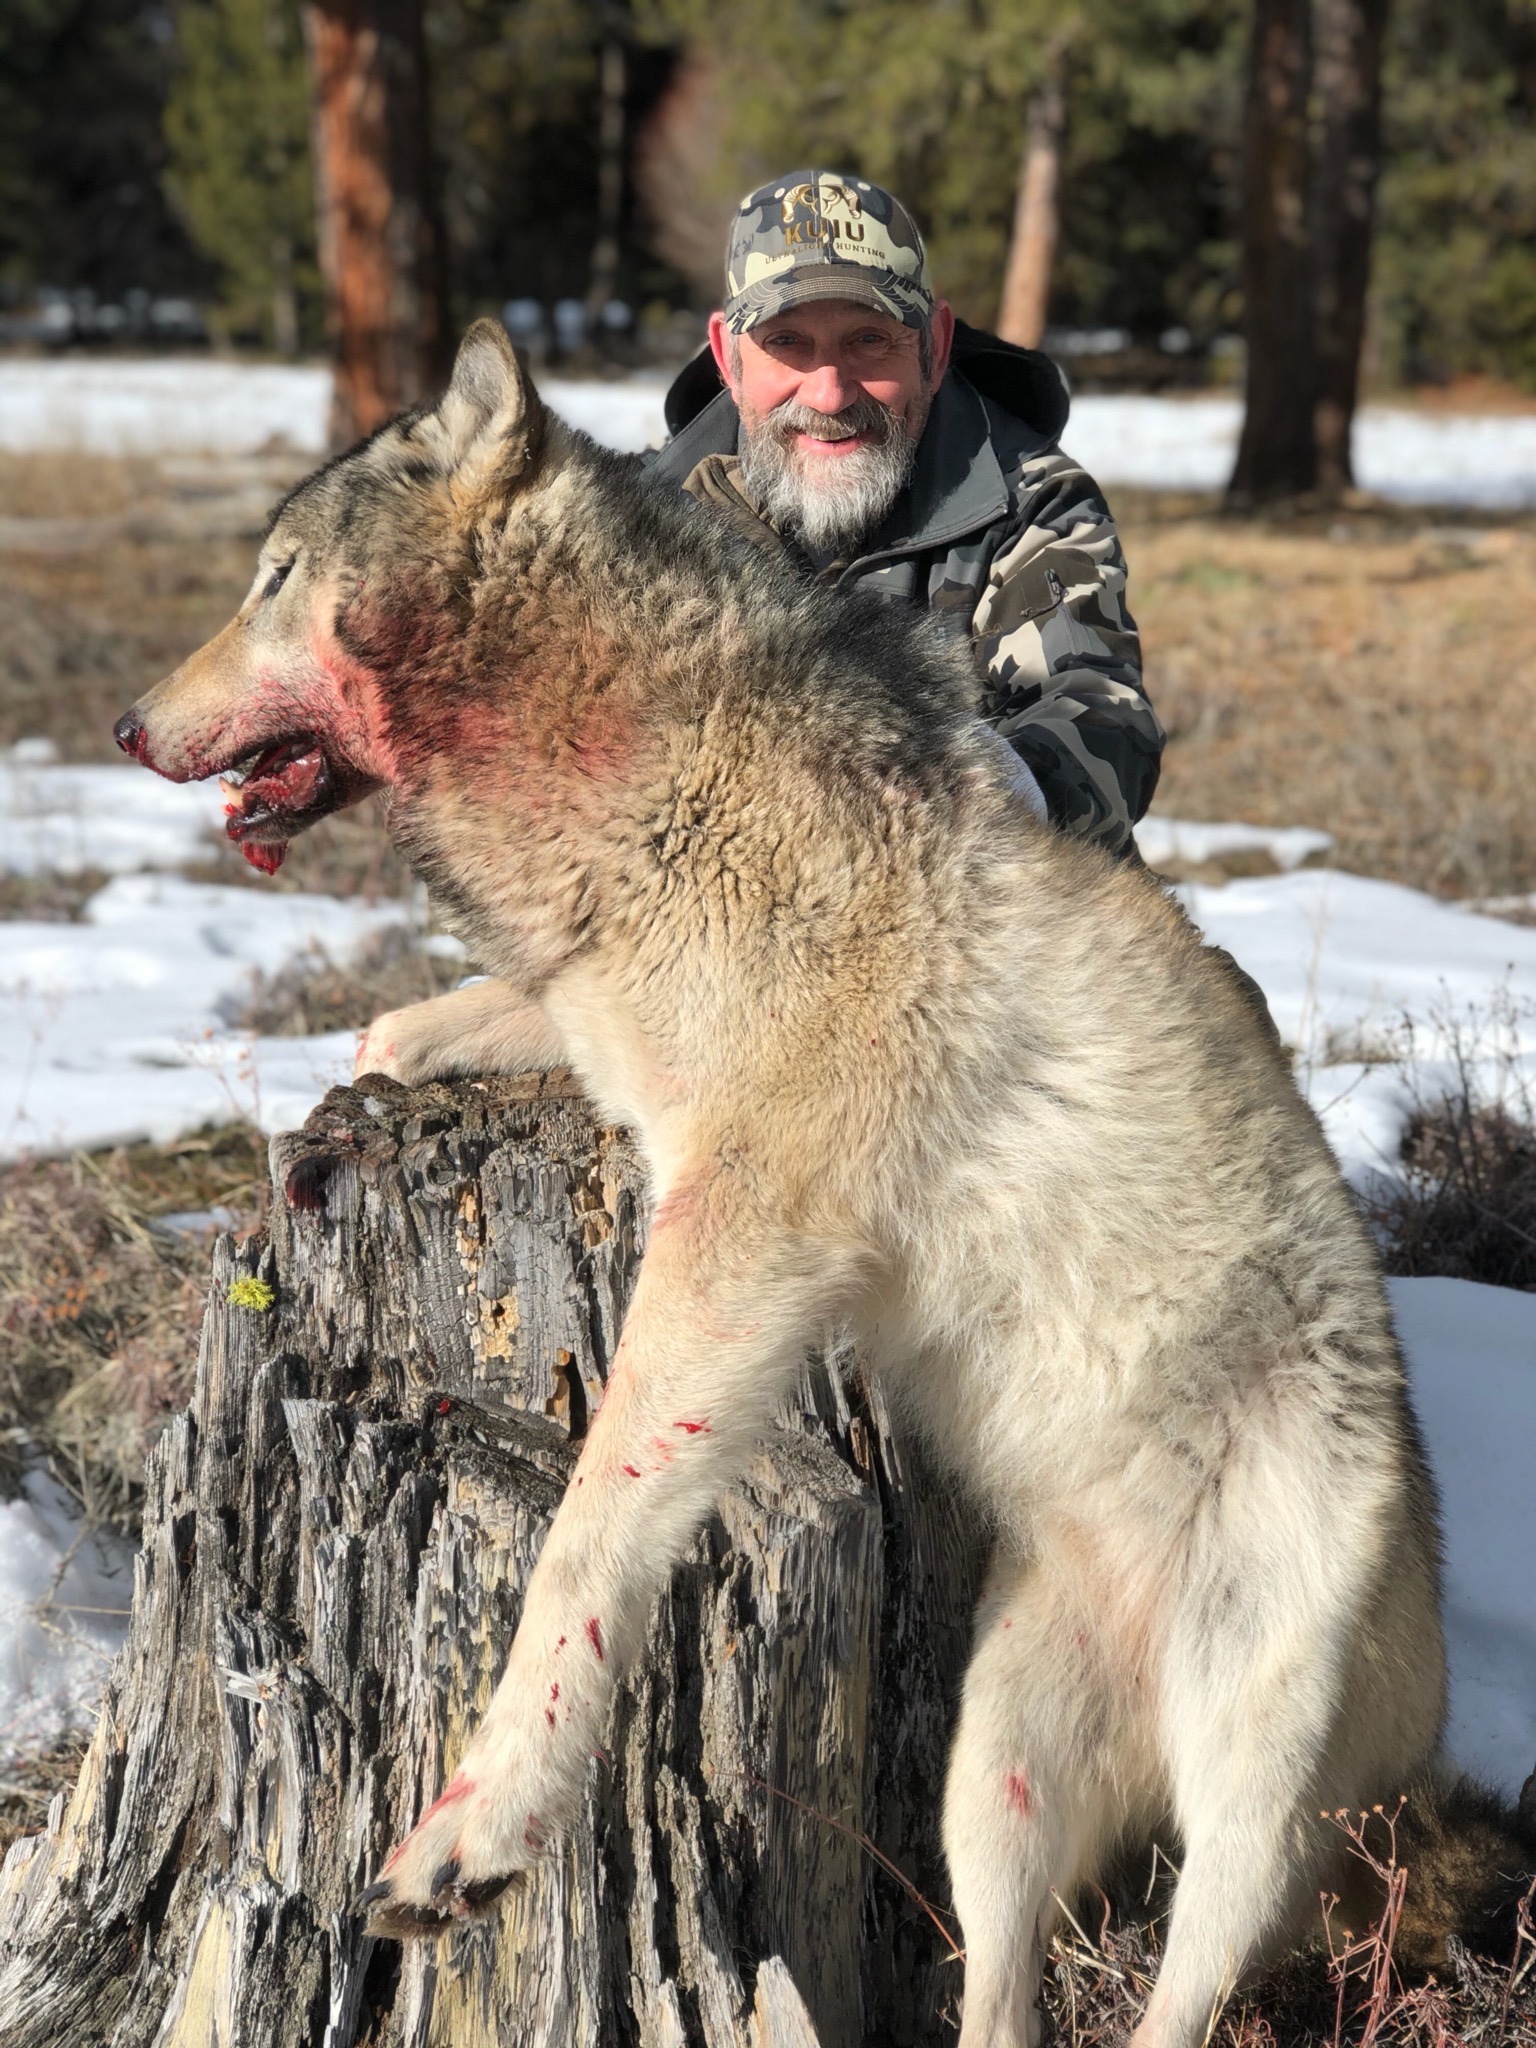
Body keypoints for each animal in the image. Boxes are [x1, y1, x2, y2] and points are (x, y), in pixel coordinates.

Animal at [115, 319, 1450, 2048]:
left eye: (276, 577)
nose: (130, 725)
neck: (640, 765)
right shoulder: (621, 1028)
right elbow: (520, 1006)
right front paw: (408, 1033)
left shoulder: (743, 1231)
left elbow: (588, 1540)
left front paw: (479, 1827)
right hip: (991, 1774)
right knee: (1005, 1994)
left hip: (1249, 1802)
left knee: (1188, 1993)